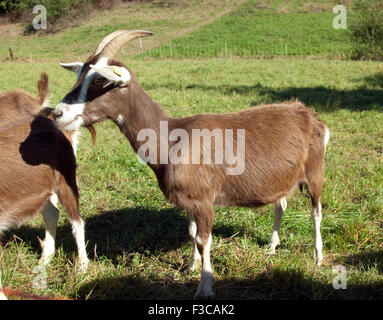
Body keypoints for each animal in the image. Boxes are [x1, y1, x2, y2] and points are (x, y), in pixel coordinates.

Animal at [53, 30, 330, 300]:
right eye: (79, 75)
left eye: (101, 82)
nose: (57, 113)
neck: (171, 138)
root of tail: (311, 116)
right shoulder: (189, 200)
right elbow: (191, 233)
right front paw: (190, 267)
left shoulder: (204, 199)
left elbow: (203, 239)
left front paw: (204, 287)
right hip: (282, 178)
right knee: (280, 204)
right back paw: (272, 247)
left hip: (315, 172)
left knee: (316, 212)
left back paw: (318, 257)